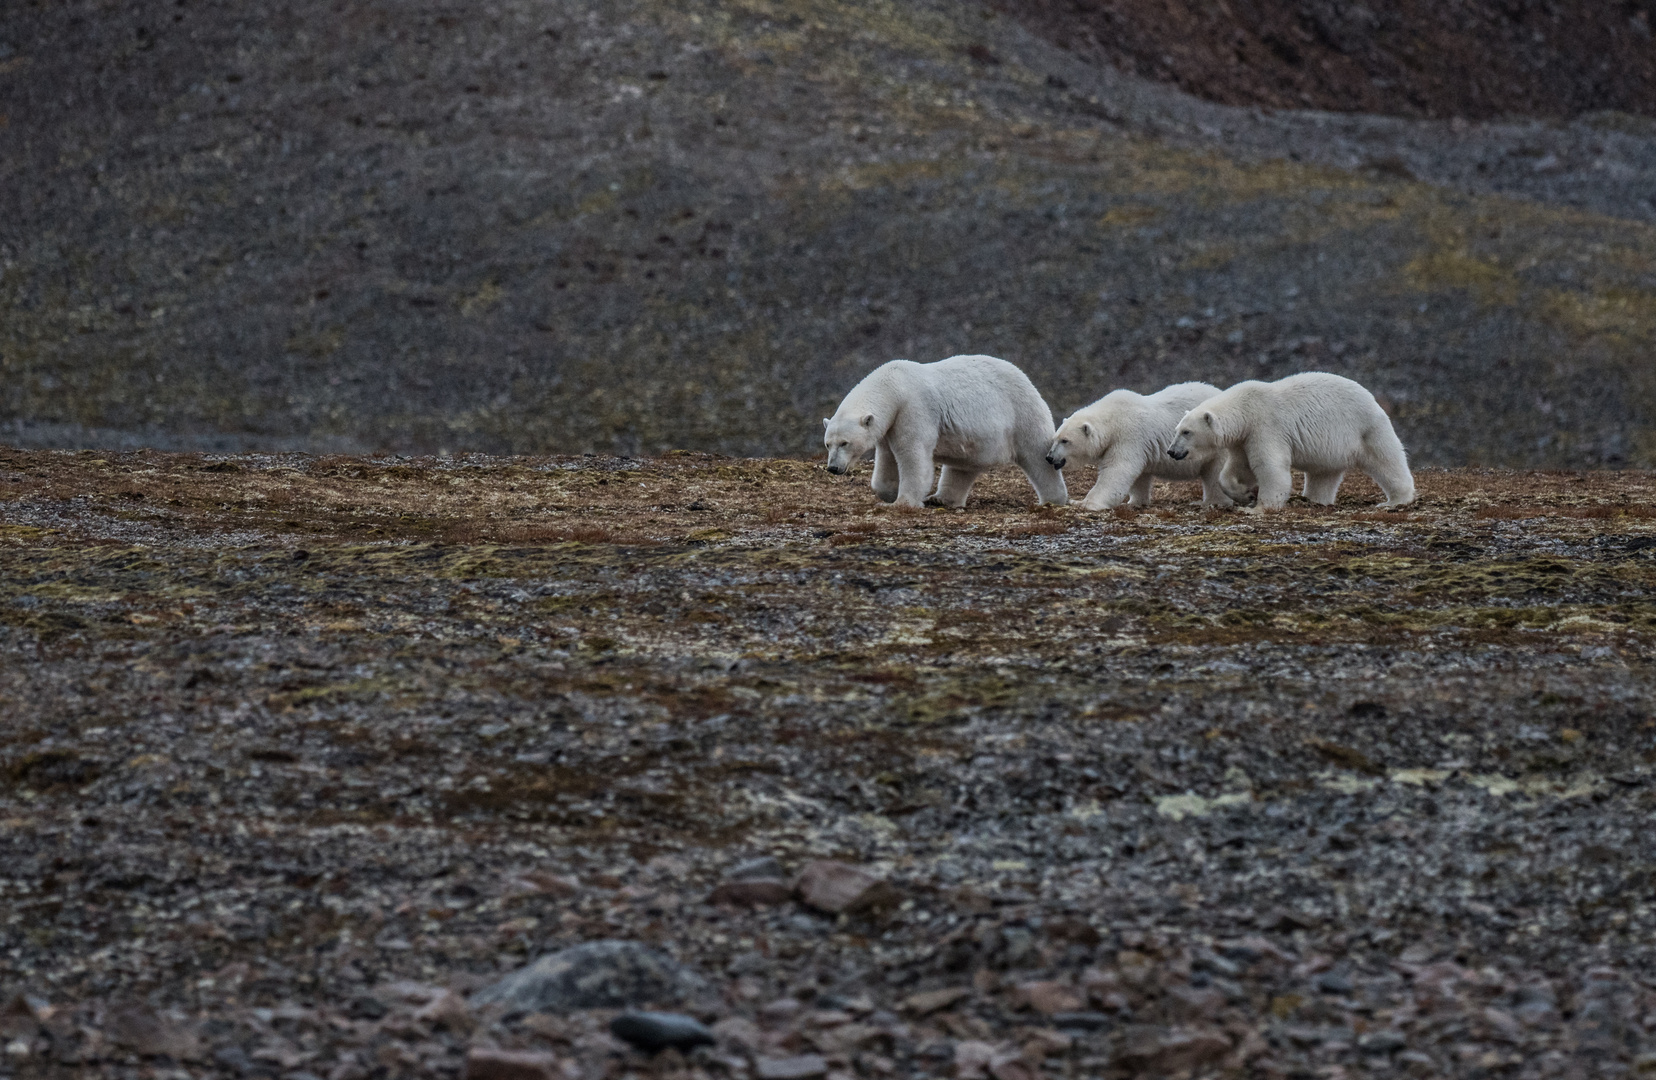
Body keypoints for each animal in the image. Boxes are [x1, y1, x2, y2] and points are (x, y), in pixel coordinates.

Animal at [821, 354, 1066, 506]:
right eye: (828, 444)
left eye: (845, 443)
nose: (833, 467)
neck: (894, 386)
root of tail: (1025, 377)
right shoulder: (891, 422)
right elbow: (887, 457)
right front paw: (888, 493)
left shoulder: (913, 408)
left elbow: (912, 453)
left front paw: (903, 502)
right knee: (963, 467)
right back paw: (940, 499)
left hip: (1022, 412)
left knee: (1036, 455)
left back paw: (1054, 499)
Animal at [1046, 380, 1245, 513]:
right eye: (1055, 438)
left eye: (1065, 441)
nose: (1049, 457)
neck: (1113, 419)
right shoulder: (1139, 445)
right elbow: (1139, 475)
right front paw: (1135, 502)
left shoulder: (1129, 436)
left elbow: (1117, 470)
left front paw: (1084, 503)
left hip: (1215, 441)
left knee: (1215, 470)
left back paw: (1213, 501)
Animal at [1165, 371, 1410, 510]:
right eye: (1176, 429)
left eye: (1186, 432)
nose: (1171, 451)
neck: (1245, 409)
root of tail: (1372, 398)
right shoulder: (1244, 438)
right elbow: (1238, 467)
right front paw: (1244, 494)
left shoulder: (1265, 426)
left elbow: (1268, 466)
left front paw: (1258, 507)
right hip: (1331, 449)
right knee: (1323, 475)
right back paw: (1314, 500)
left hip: (1365, 429)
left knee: (1386, 460)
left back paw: (1395, 501)